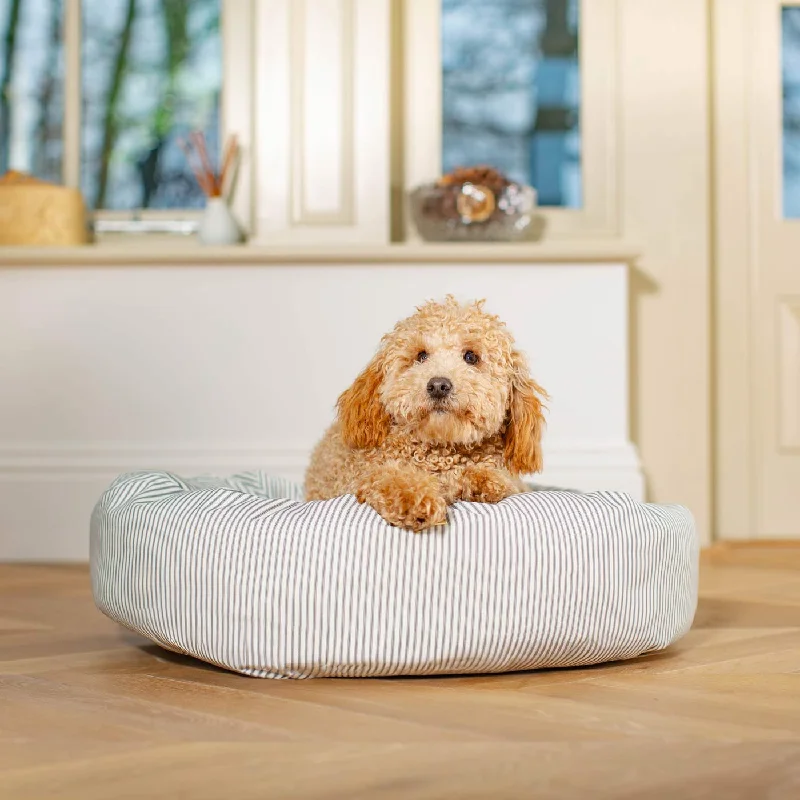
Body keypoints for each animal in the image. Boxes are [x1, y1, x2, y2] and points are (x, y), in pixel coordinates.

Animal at [304, 296, 548, 532]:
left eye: (471, 357)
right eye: (421, 356)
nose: (438, 385)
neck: (440, 450)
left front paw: (483, 478)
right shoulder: (360, 475)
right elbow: (389, 477)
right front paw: (415, 498)